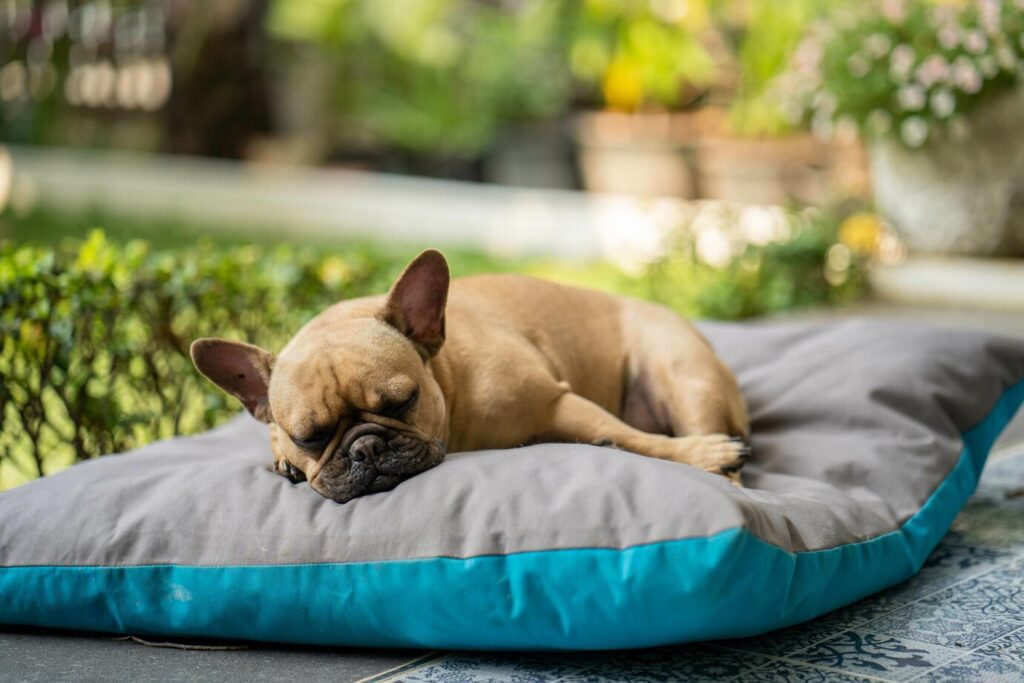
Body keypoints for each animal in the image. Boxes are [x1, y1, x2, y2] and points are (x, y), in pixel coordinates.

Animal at [193, 249, 753, 501]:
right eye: (308, 436)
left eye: (403, 401)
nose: (366, 447)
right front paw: (284, 465)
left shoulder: (557, 400)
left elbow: (638, 441)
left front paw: (699, 454)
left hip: (680, 376)